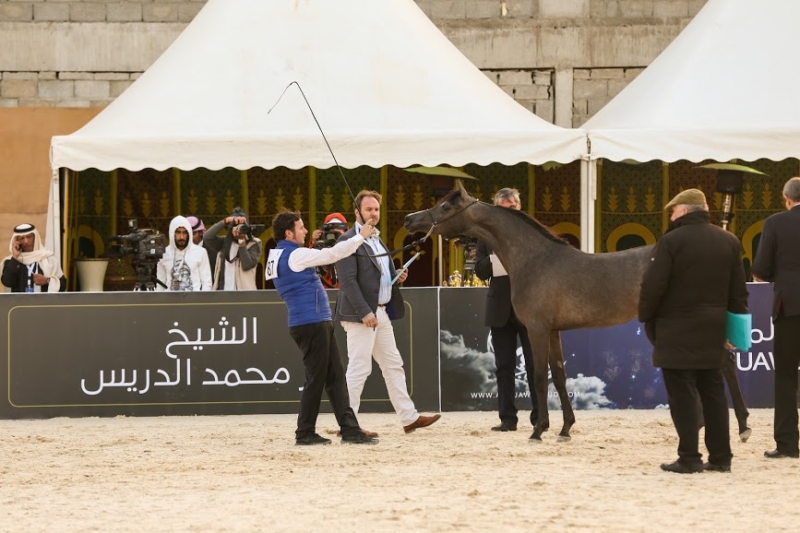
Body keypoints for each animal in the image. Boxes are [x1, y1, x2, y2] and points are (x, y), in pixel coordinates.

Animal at [406, 183, 752, 440]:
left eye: (446, 208)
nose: (411, 219)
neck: (534, 260)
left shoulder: (537, 329)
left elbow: (539, 376)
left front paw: (538, 430)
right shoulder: (553, 331)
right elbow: (559, 376)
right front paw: (564, 429)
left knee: (723, 362)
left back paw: (743, 426)